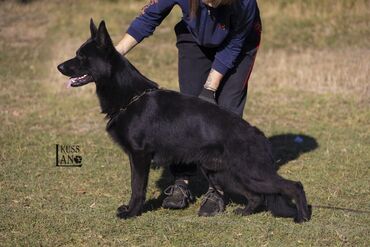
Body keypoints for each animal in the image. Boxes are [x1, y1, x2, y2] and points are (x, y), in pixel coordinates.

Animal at [57, 20, 310, 223]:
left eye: (81, 57)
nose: (59, 66)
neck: (130, 97)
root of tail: (259, 136)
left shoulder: (140, 157)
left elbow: (137, 187)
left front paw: (132, 212)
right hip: (226, 174)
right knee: (256, 196)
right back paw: (245, 212)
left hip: (250, 174)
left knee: (294, 186)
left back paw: (303, 217)